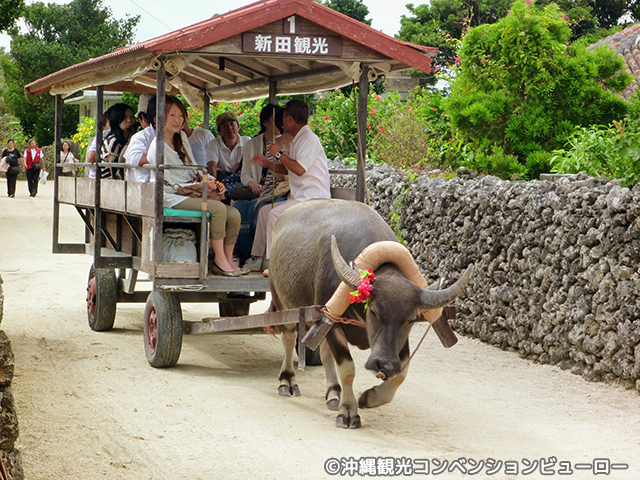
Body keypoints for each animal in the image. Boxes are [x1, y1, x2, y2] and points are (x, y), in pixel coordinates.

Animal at [268, 199, 472, 428]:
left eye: (410, 319)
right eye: (374, 311)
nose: (382, 364)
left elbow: (402, 371)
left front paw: (369, 398)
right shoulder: (331, 320)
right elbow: (347, 368)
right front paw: (348, 412)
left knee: (324, 352)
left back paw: (333, 393)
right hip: (282, 300)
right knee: (288, 337)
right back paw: (288, 381)